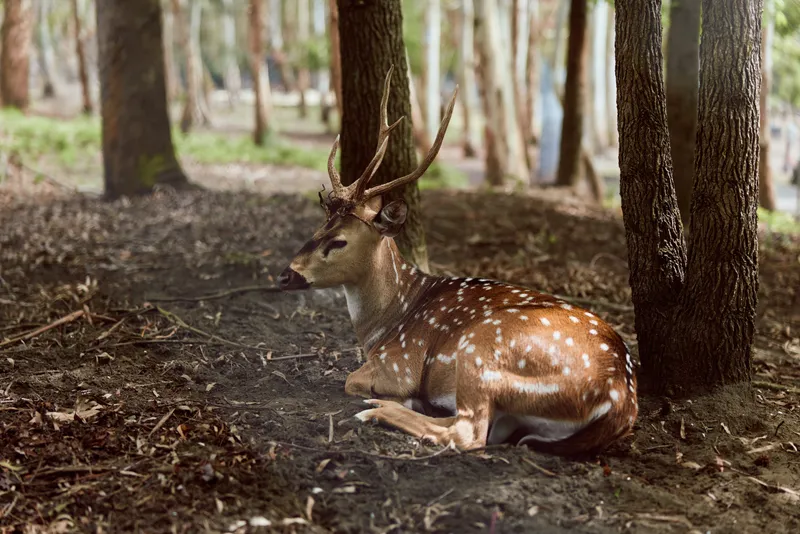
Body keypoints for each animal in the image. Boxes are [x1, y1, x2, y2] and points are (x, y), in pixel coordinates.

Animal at [278, 66, 638, 456]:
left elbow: (351, 379)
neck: (386, 324)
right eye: (319, 226)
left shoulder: (399, 362)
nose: (286, 276)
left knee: (469, 432)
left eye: (339, 240)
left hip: (480, 350)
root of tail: (619, 400)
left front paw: (390, 397)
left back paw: (377, 409)